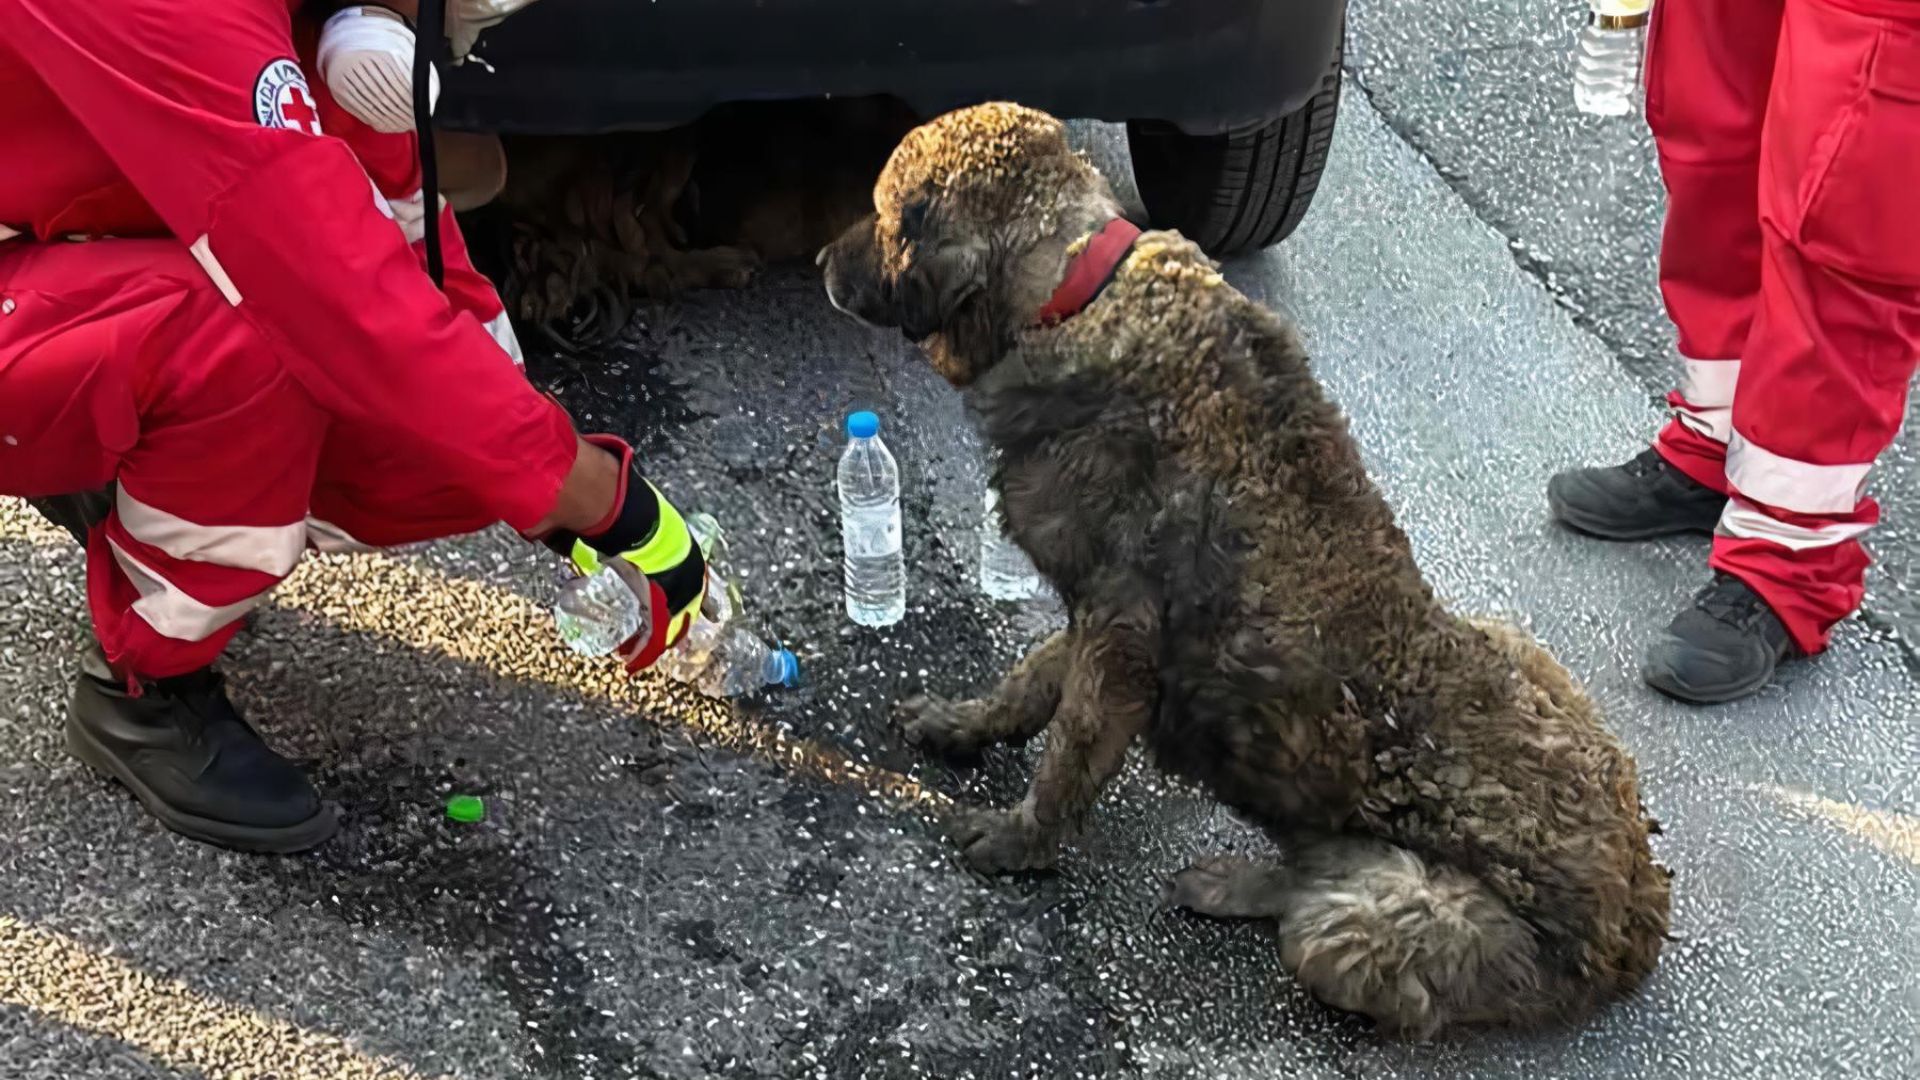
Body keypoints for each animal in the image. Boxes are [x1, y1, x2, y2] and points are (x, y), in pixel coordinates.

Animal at [817, 102, 1674, 1037]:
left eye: (883, 210)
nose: (821, 264)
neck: (1080, 288)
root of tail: (1640, 908)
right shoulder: (1097, 609)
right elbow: (1029, 682)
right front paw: (964, 723)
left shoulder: (1117, 639)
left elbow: (1068, 751)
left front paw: (1022, 841)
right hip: (1511, 639)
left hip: (1366, 925)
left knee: (1316, 915)